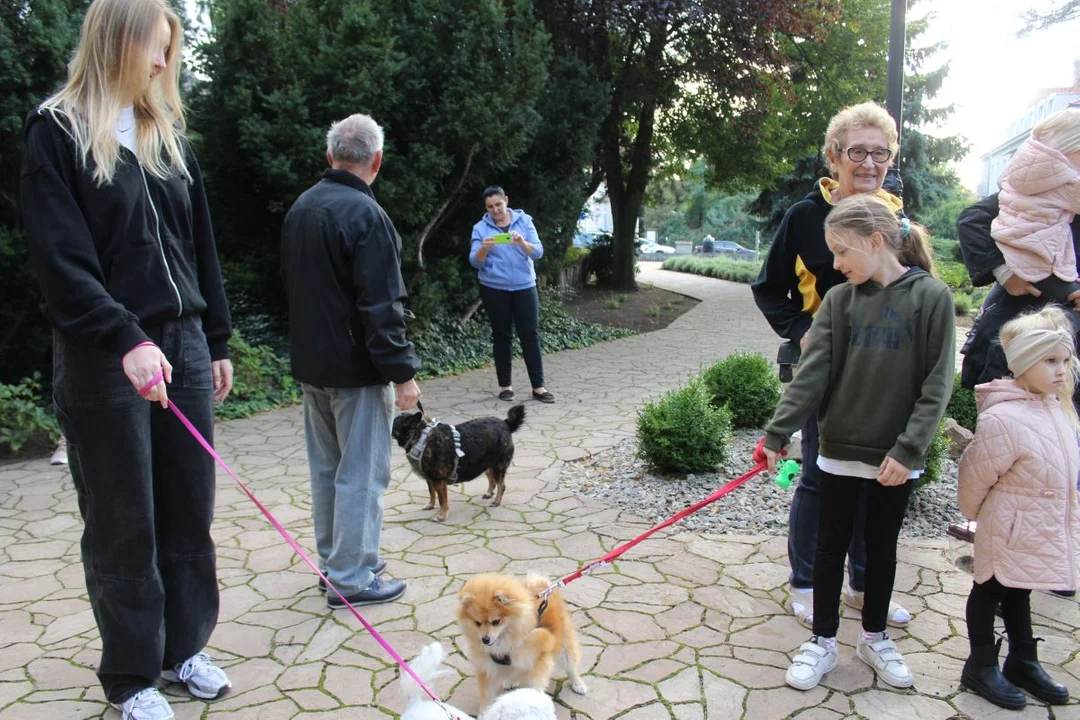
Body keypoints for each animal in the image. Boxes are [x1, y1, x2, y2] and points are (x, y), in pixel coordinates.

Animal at [393, 405, 527, 524]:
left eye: (393, 422)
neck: (419, 437)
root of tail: (505, 423)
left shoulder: (438, 480)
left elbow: (442, 501)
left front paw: (442, 516)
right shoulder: (430, 479)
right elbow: (432, 494)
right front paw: (431, 505)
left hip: (498, 466)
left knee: (501, 486)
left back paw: (497, 501)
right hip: (486, 463)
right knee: (492, 479)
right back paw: (489, 493)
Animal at [457, 574, 591, 708]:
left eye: (496, 622)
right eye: (477, 623)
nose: (485, 639)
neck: (506, 641)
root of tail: (543, 586)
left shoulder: (538, 659)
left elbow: (535, 685)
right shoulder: (487, 666)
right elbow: (486, 696)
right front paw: (484, 711)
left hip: (564, 643)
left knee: (571, 665)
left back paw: (578, 684)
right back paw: (511, 681)